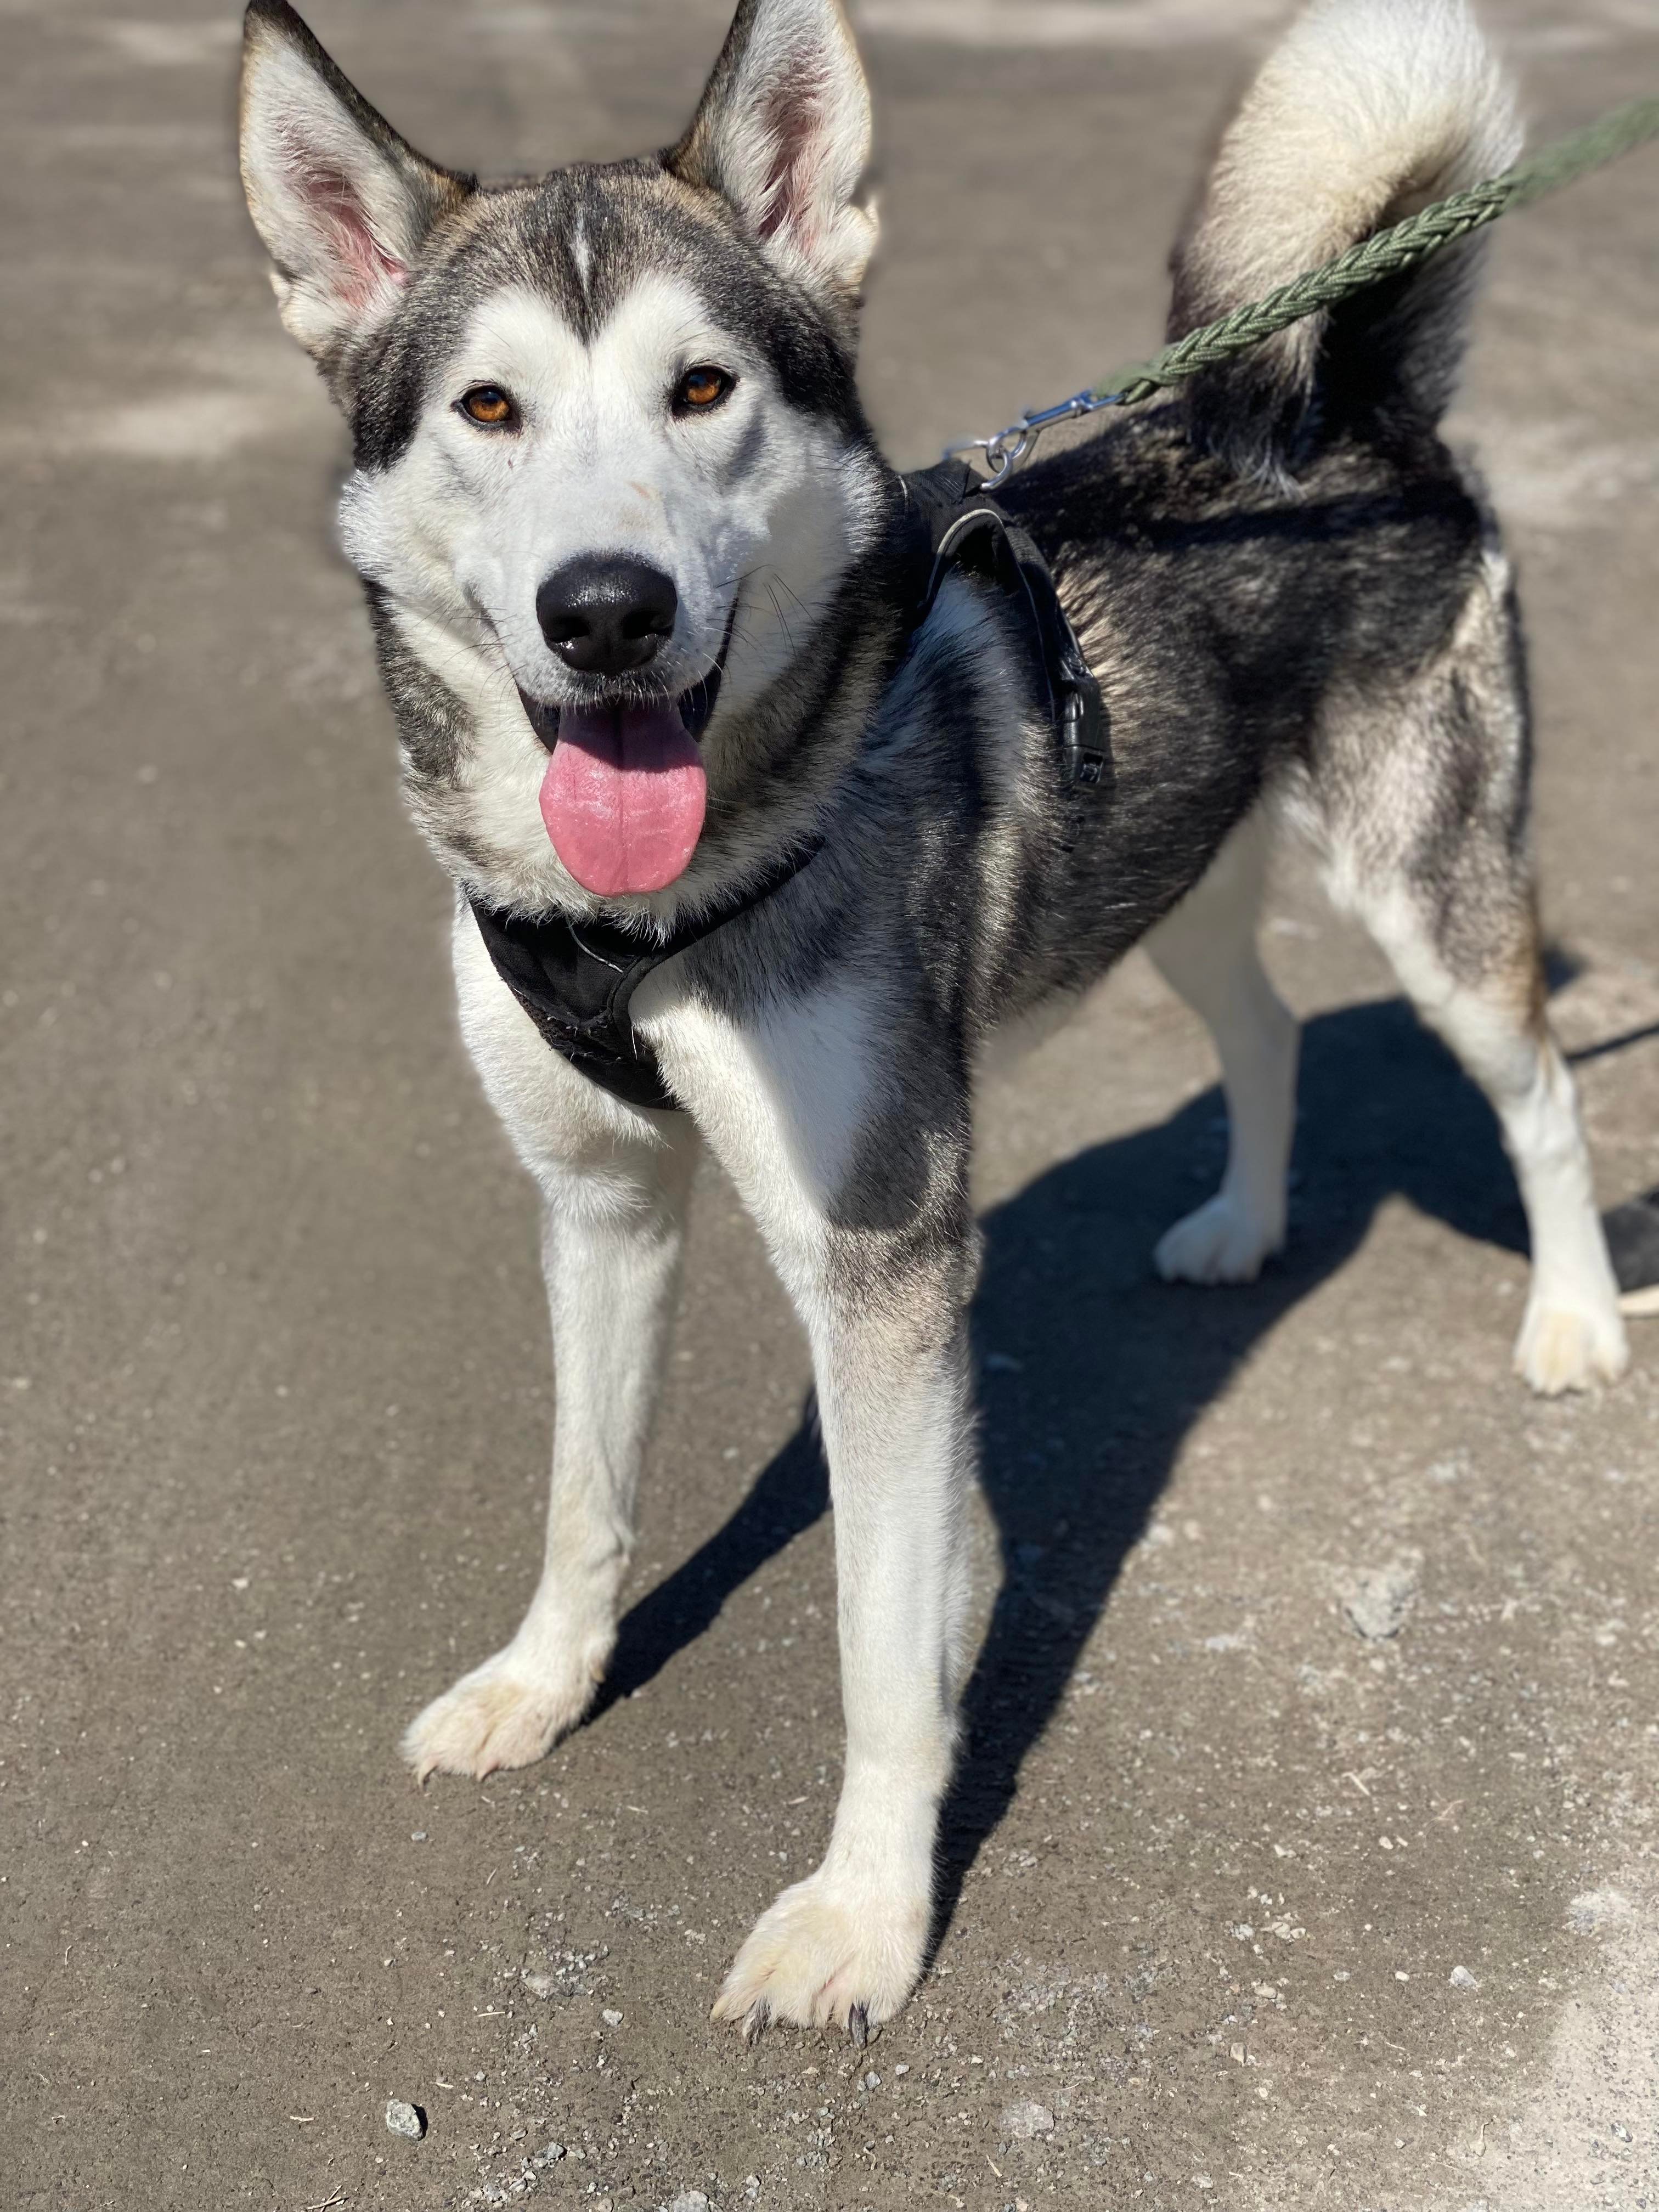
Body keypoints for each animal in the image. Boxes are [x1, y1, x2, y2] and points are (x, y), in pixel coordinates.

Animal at [238, 0, 1630, 2037]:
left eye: (705, 388)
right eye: (487, 410)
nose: (605, 611)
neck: (642, 908)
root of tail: (1349, 410)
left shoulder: (877, 1256)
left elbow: (879, 1649)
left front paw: (863, 1917)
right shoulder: (599, 1205)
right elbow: (586, 1497)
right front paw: (543, 1686)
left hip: (1427, 885)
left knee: (1532, 1091)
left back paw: (1574, 1320)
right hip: (1172, 873)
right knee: (1267, 1026)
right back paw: (1243, 1225)